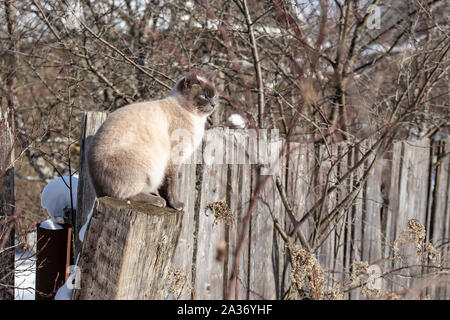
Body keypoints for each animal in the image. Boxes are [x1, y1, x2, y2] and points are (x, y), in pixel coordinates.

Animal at [87, 70, 218, 210]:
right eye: (204, 96)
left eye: (214, 96)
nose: (214, 104)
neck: (195, 118)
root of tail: (98, 191)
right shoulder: (173, 160)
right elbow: (171, 185)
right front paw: (177, 205)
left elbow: (165, 187)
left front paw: (171, 204)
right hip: (147, 166)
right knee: (123, 195)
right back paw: (158, 201)